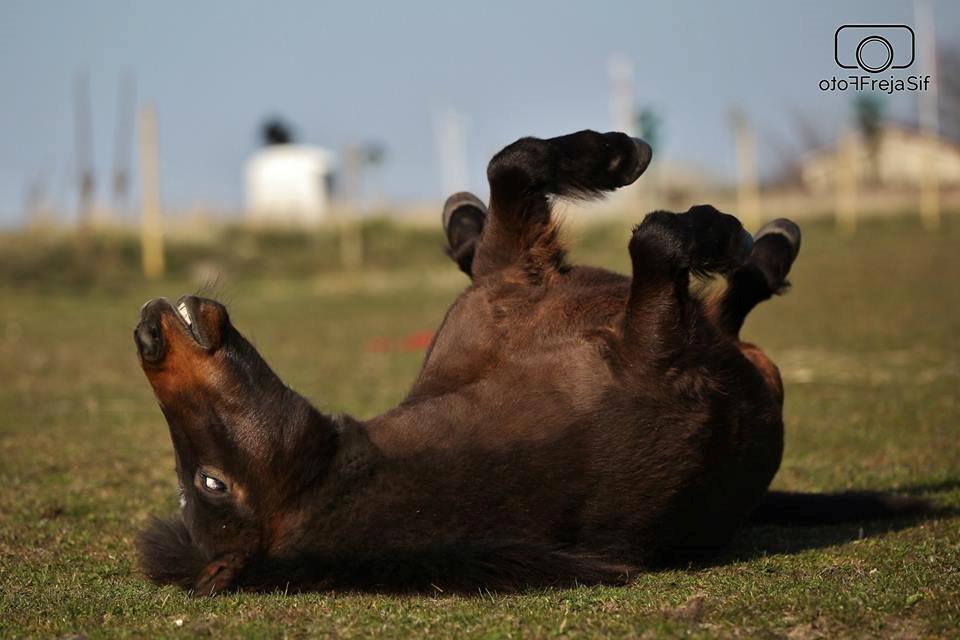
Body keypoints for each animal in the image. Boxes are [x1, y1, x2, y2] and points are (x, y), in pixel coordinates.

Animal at [133, 130, 924, 596]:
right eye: (210, 484)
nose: (144, 332)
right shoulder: (661, 351)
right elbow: (656, 242)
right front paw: (717, 230)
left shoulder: (510, 276)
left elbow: (510, 166)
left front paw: (615, 156)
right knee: (730, 297)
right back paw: (758, 245)